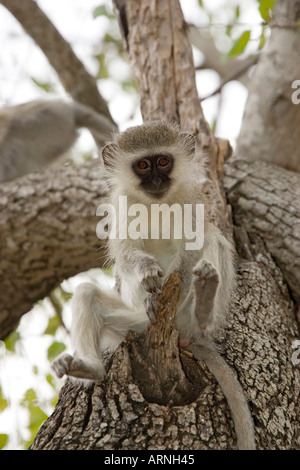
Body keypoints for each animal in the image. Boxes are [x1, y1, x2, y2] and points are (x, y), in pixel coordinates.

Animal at [51, 122, 255, 452]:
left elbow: (193, 246)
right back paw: (90, 368)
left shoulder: (192, 198)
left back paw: (204, 303)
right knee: (87, 293)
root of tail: (185, 336)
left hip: (186, 318)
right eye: (143, 165)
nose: (157, 180)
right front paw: (146, 273)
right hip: (136, 325)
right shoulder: (120, 204)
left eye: (162, 161)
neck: (156, 203)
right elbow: (124, 252)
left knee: (213, 240)